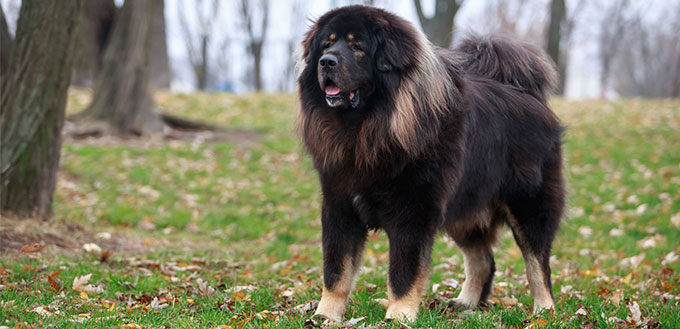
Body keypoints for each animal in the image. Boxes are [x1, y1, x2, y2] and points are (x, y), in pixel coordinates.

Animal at [294, 5, 564, 322]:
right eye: (327, 45)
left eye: (358, 47)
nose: (326, 62)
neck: (366, 129)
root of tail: (530, 97)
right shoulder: (339, 206)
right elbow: (336, 270)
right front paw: (324, 316)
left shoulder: (413, 212)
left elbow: (403, 272)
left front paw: (398, 316)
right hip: (465, 208)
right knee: (483, 260)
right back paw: (466, 303)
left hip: (528, 206)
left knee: (538, 264)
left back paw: (544, 310)